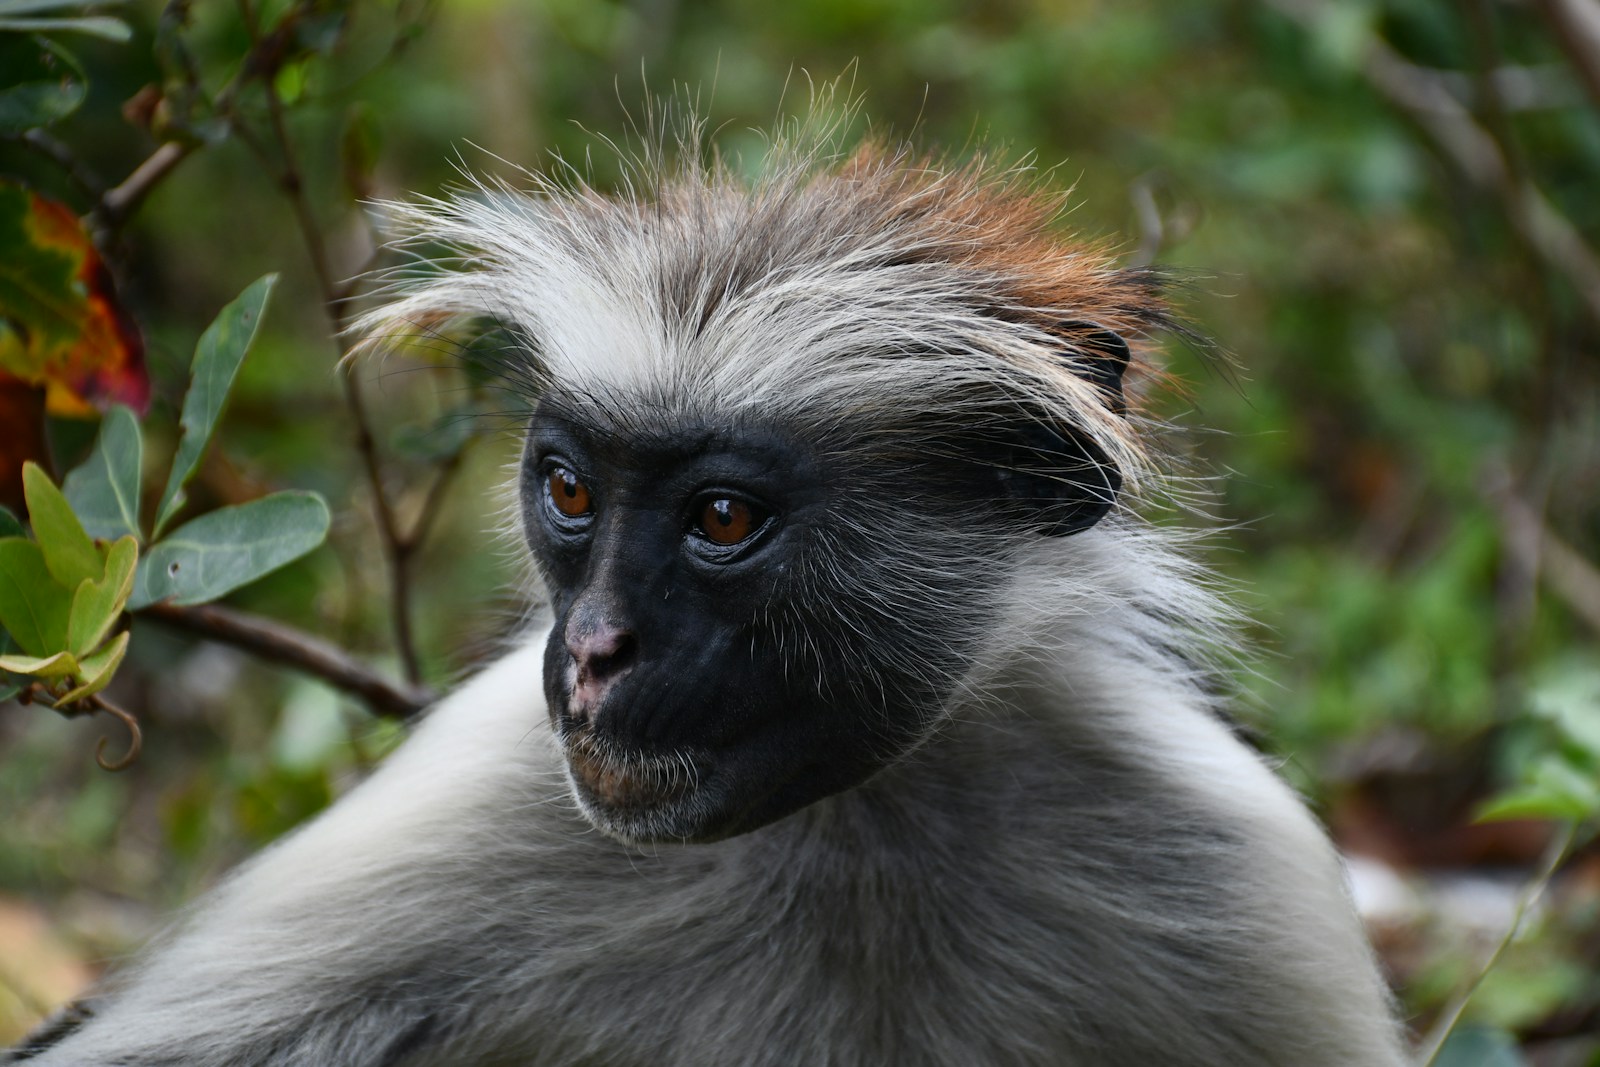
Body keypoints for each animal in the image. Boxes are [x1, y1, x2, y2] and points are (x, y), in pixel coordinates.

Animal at [7, 116, 1411, 1066]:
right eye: (571, 492)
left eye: (721, 520)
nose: (591, 650)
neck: (852, 816)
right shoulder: (473, 802)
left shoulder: (1231, 875)